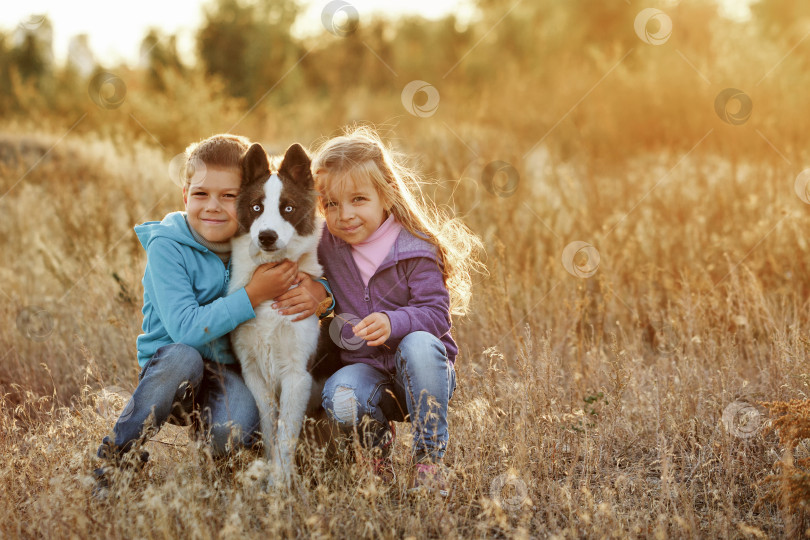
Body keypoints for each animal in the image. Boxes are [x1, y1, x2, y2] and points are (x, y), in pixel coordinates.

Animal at [226, 142, 324, 486]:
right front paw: (271, 475)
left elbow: (285, 434)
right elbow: (270, 430)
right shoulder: (253, 372)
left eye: (288, 209)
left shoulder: (297, 376)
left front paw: (280, 485)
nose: (266, 236)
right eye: (256, 207)